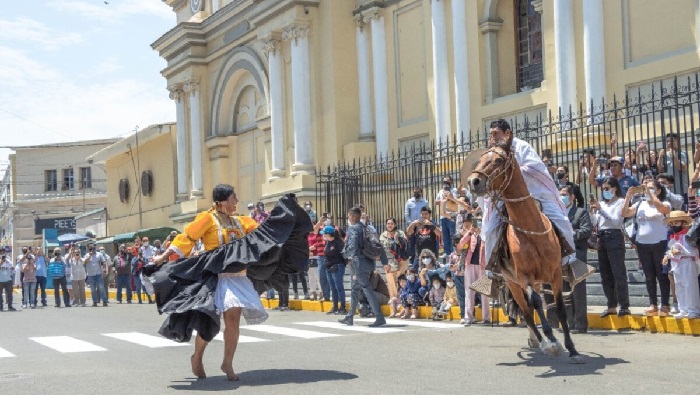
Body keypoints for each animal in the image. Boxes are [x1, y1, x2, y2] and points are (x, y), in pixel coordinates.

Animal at [464, 142, 584, 366]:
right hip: (513, 283)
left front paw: (572, 350)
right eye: (481, 159)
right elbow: (535, 304)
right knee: (527, 311)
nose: (473, 181)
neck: (530, 228)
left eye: (499, 159)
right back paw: (541, 341)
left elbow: (560, 309)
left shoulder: (555, 274)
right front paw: (552, 341)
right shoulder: (523, 276)